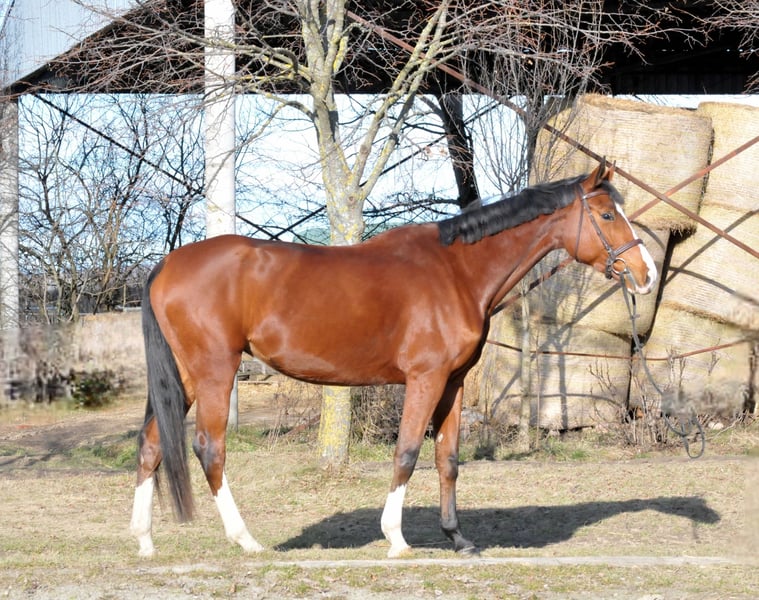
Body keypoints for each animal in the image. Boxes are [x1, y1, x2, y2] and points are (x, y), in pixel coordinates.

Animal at [130, 161, 657, 558]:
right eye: (607, 215)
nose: (646, 274)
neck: (456, 272)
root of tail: (166, 265)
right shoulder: (425, 379)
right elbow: (406, 452)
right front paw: (397, 539)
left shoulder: (453, 382)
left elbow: (448, 459)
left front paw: (458, 538)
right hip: (215, 372)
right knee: (209, 448)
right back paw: (246, 540)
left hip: (186, 377)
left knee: (152, 444)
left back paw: (144, 542)